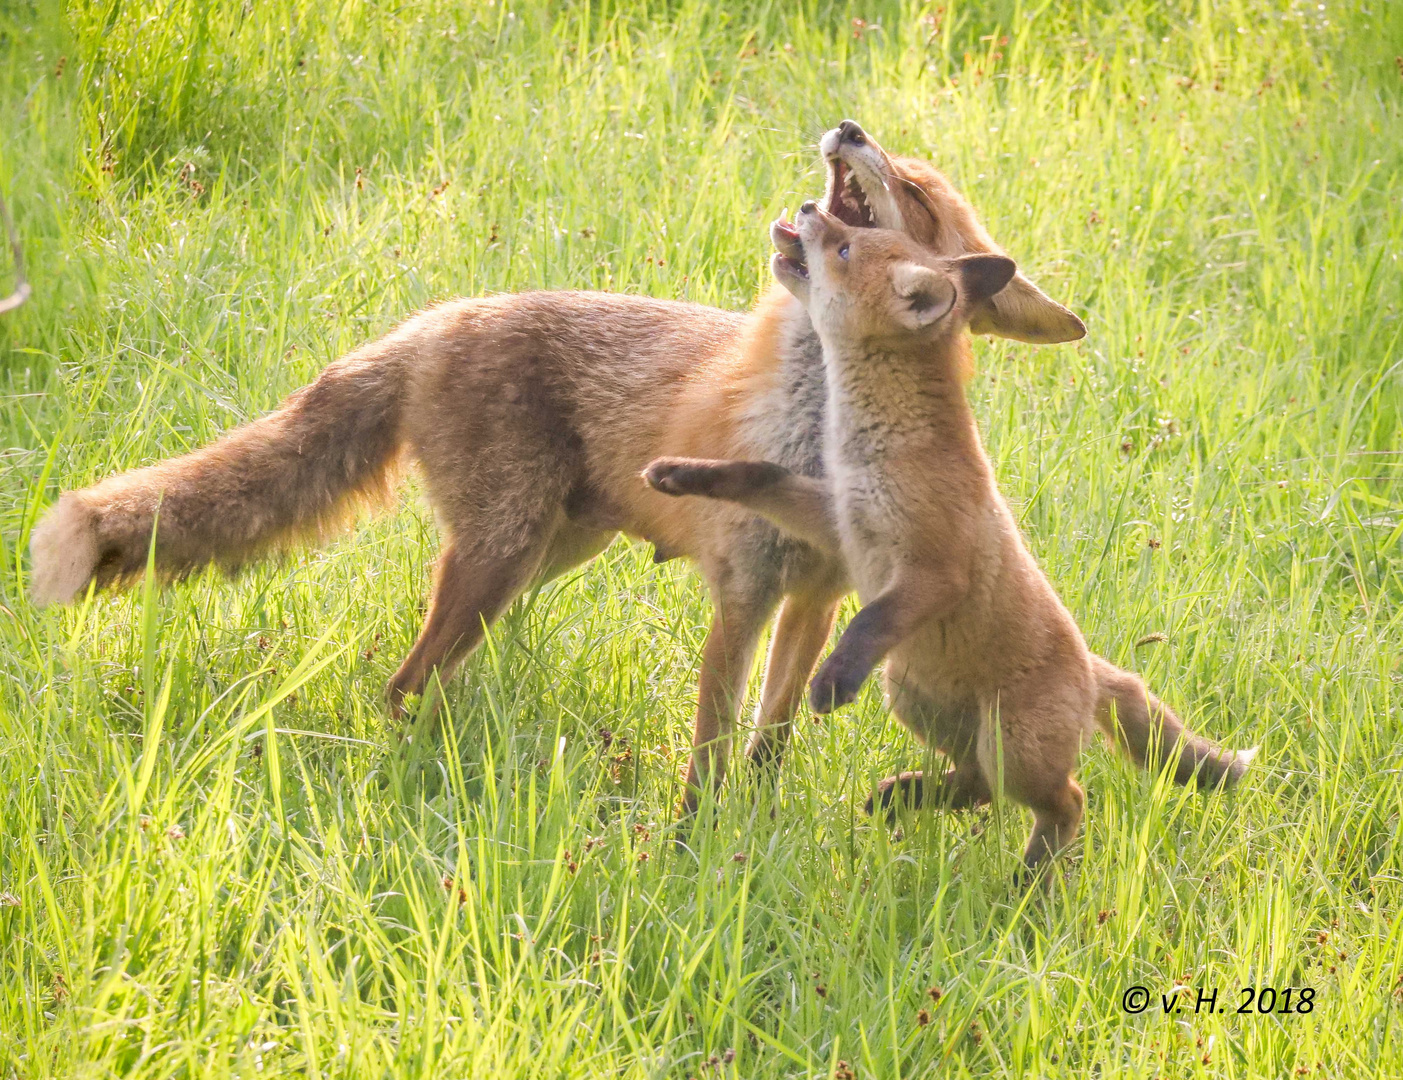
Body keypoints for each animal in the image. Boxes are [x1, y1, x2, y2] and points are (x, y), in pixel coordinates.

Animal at [30, 119, 1083, 807]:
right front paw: (696, 842)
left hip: (544, 554)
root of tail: (440, 318)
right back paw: (417, 764)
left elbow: (772, 735)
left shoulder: (818, 591)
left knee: (418, 671)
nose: (848, 125)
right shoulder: (743, 588)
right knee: (403, 683)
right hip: (502, 554)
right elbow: (710, 740)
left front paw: (754, 820)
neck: (813, 419)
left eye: (912, 196)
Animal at [642, 201, 1257, 864]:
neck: (888, 445)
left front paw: (832, 680)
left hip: (1012, 746)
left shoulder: (936, 570)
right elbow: (759, 474)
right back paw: (903, 797)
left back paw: (1027, 880)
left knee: (1065, 801)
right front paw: (681, 474)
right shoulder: (837, 519)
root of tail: (1094, 672)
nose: (806, 208)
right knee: (978, 785)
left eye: (845, 249)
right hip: (916, 700)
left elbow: (870, 620)